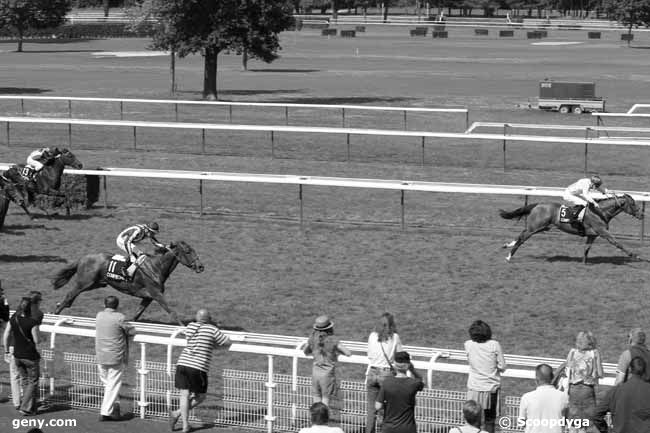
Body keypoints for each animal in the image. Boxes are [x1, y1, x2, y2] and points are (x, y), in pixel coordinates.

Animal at [51, 240, 202, 324]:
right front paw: (183, 330)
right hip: (85, 282)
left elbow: (137, 314)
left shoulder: (148, 297)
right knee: (69, 295)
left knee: (71, 297)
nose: (201, 266)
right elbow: (172, 312)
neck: (156, 267)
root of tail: (83, 258)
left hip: (96, 283)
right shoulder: (156, 294)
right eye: (188, 251)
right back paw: (54, 314)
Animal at [496, 193, 644, 262]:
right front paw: (635, 255)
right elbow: (618, 243)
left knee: (521, 235)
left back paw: (507, 245)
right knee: (522, 238)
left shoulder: (592, 235)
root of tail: (538, 204)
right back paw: (509, 256)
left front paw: (583, 262)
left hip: (542, 227)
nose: (642, 214)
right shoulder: (603, 232)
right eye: (633, 204)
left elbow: (586, 249)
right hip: (535, 227)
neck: (600, 212)